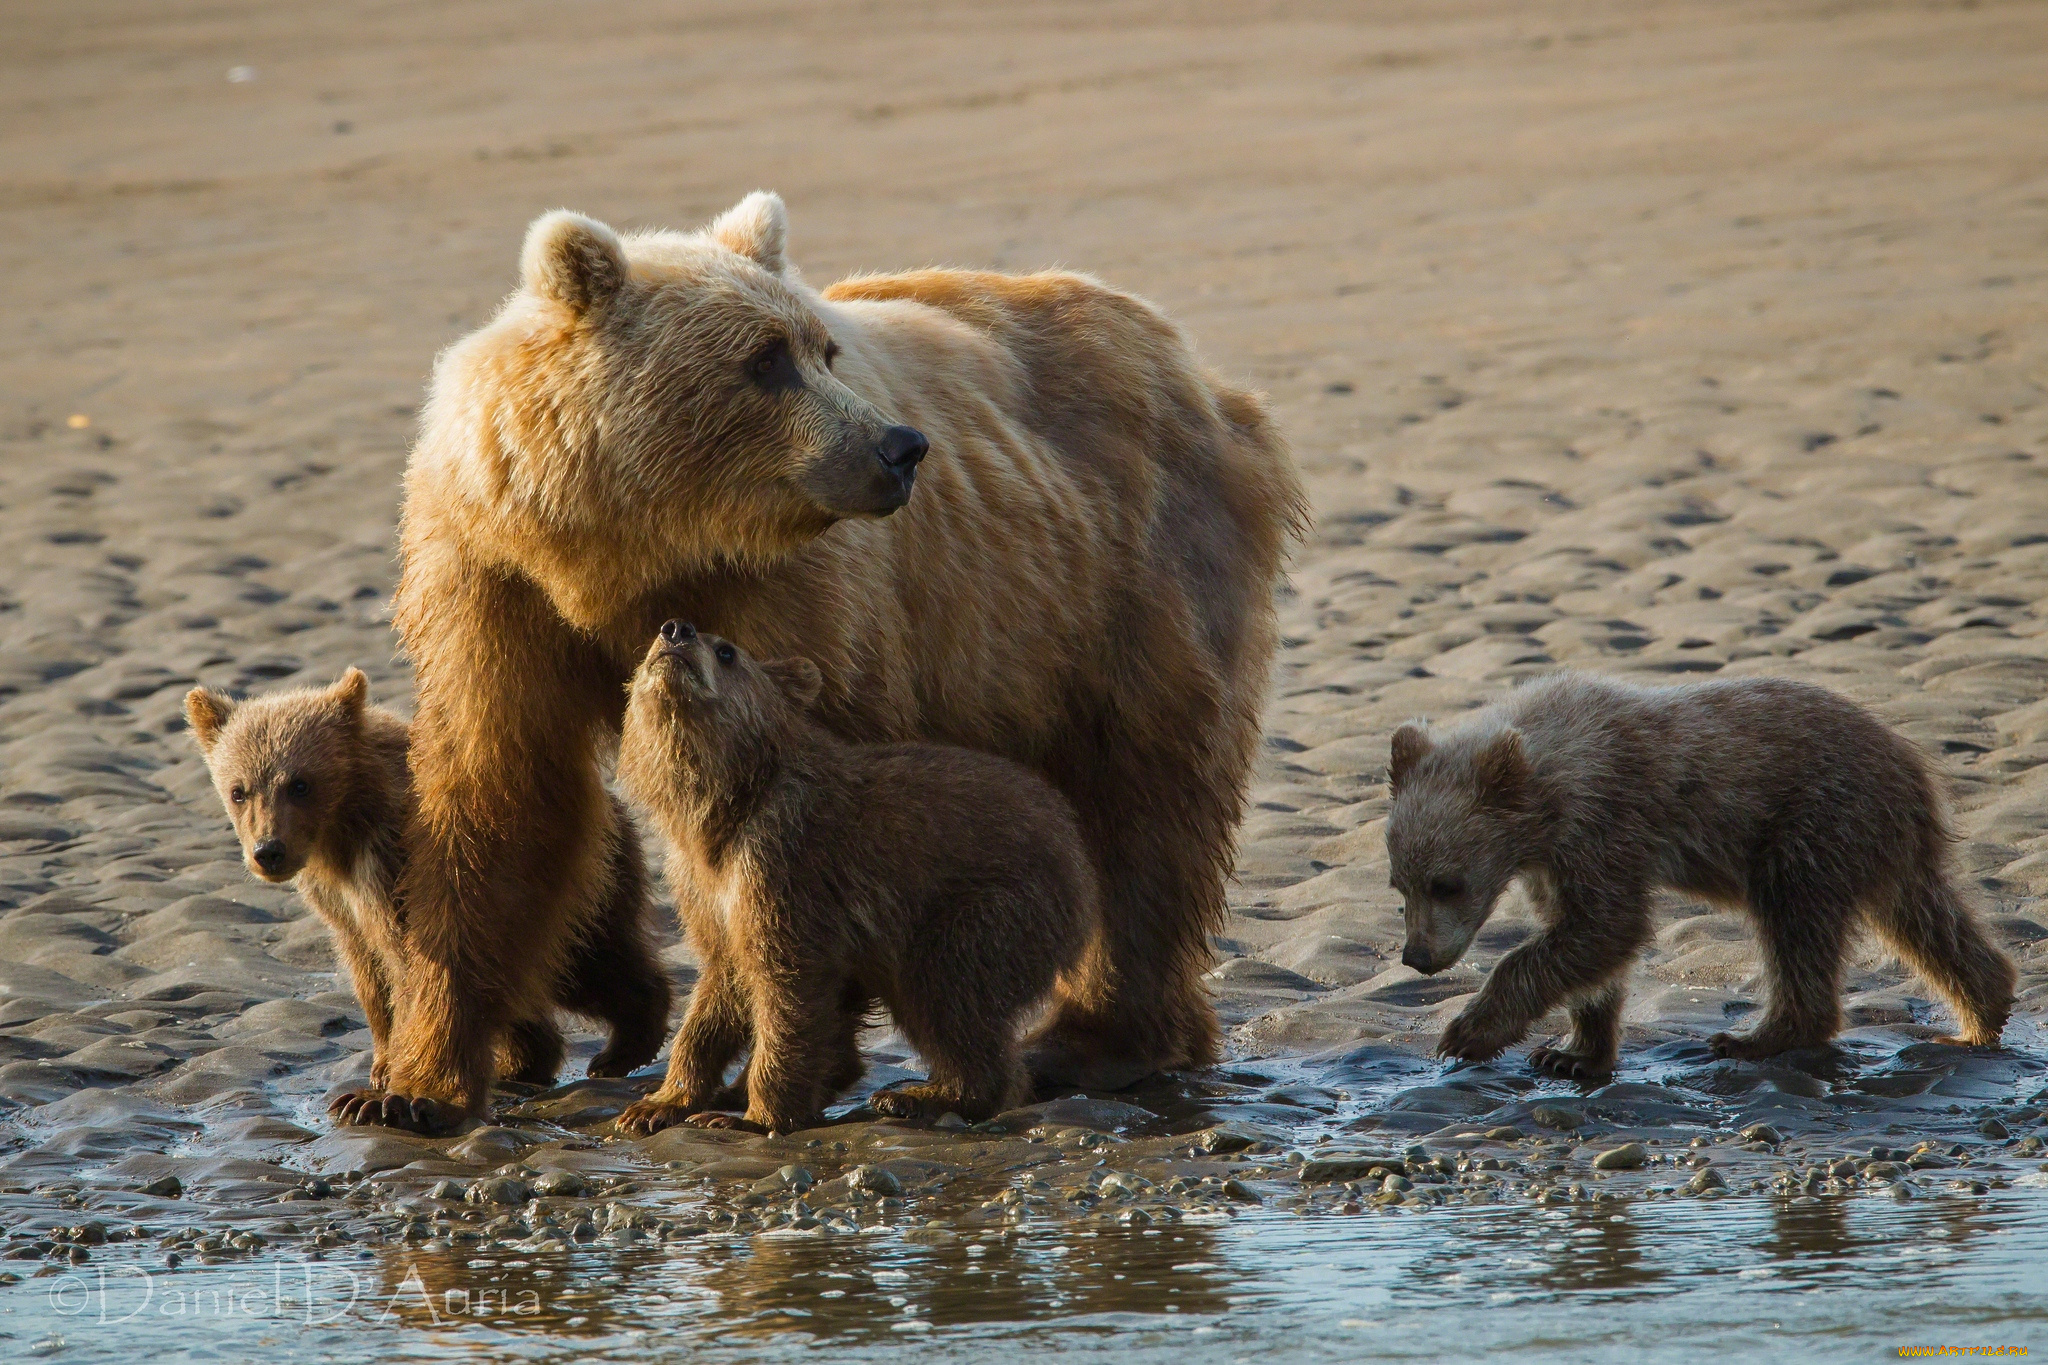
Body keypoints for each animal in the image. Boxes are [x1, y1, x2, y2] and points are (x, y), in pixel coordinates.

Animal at [360, 192, 1302, 1129]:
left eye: (821, 348)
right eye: (765, 359)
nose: (900, 446)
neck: (618, 550)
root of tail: (1195, 365)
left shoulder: (788, 593)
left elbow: (821, 806)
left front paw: (777, 1074)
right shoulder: (495, 585)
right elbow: (499, 798)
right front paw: (411, 1086)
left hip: (1133, 574)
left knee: (1147, 800)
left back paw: (1097, 1040)